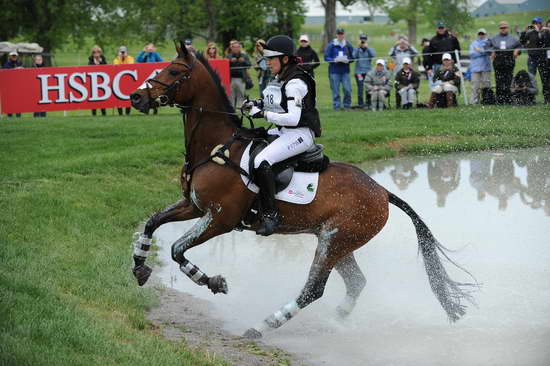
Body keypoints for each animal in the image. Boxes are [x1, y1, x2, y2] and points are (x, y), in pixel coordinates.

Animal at [127, 41, 476, 338]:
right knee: (356, 283)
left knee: (313, 288)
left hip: (335, 241)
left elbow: (177, 250)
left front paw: (214, 282)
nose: (135, 98)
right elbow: (152, 223)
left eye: (173, 72)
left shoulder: (220, 219)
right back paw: (337, 319)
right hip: (337, 242)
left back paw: (264, 325)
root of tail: (381, 191)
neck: (215, 147)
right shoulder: (193, 206)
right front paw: (140, 268)